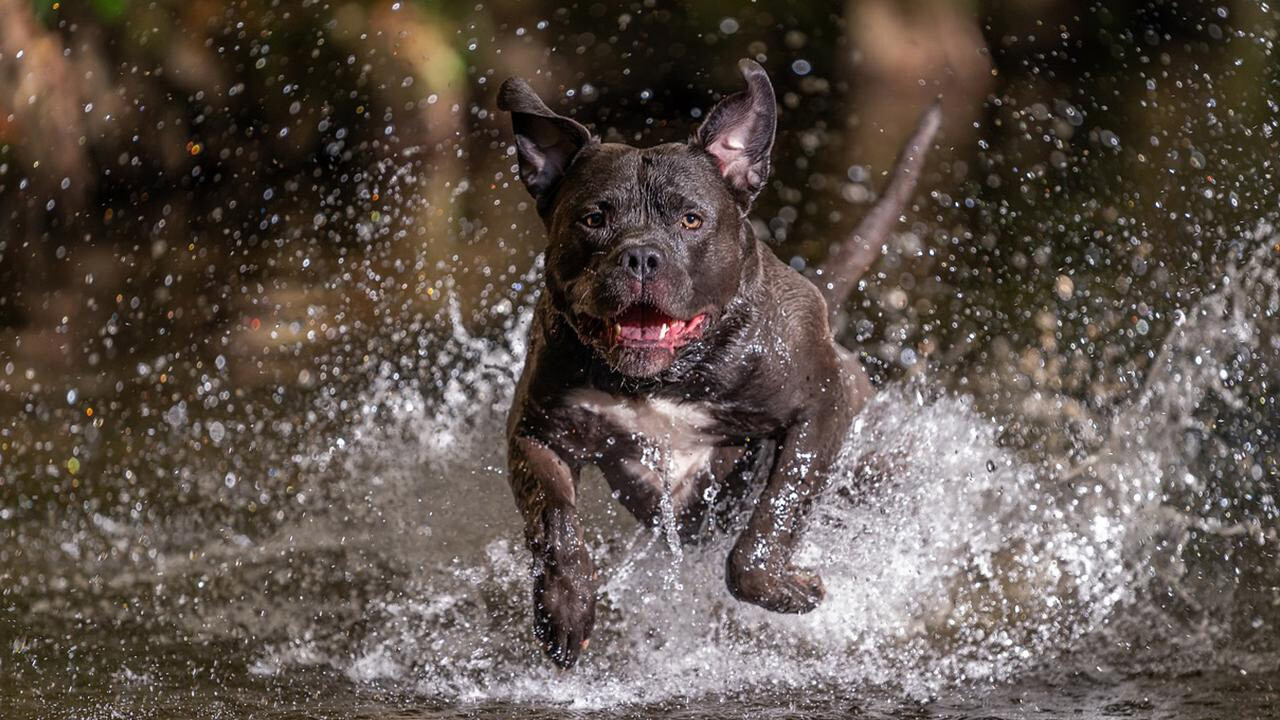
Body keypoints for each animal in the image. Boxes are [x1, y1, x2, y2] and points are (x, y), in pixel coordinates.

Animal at [494, 58, 936, 666]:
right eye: (593, 218)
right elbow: (555, 521)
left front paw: (789, 587)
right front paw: (565, 608)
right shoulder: (539, 432)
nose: (640, 255)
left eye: (691, 220)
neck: (665, 379)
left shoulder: (820, 408)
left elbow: (772, 520)